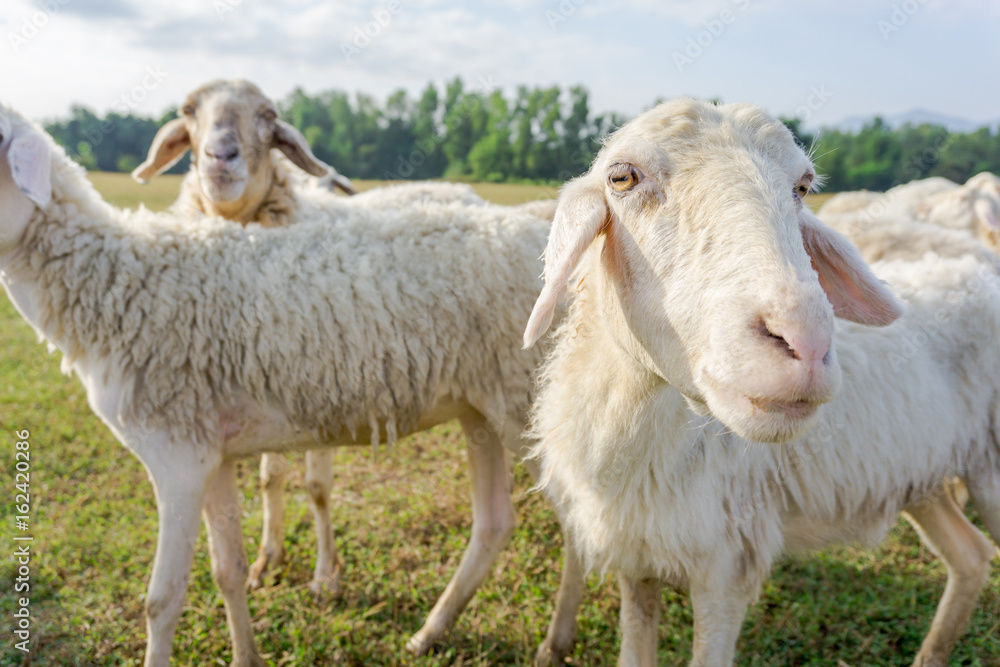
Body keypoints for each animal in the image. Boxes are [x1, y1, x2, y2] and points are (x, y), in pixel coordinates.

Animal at [0, 102, 586, 667]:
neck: (118, 283)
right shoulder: (209, 455)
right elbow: (227, 570)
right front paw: (247, 654)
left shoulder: (176, 458)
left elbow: (161, 600)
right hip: (481, 407)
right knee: (494, 523)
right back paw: (430, 634)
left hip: (529, 401)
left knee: (578, 520)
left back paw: (552, 645)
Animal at [523, 97, 1000, 666]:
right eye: (622, 177)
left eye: (803, 186)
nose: (807, 341)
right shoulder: (638, 557)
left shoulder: (726, 566)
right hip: (922, 472)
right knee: (971, 554)